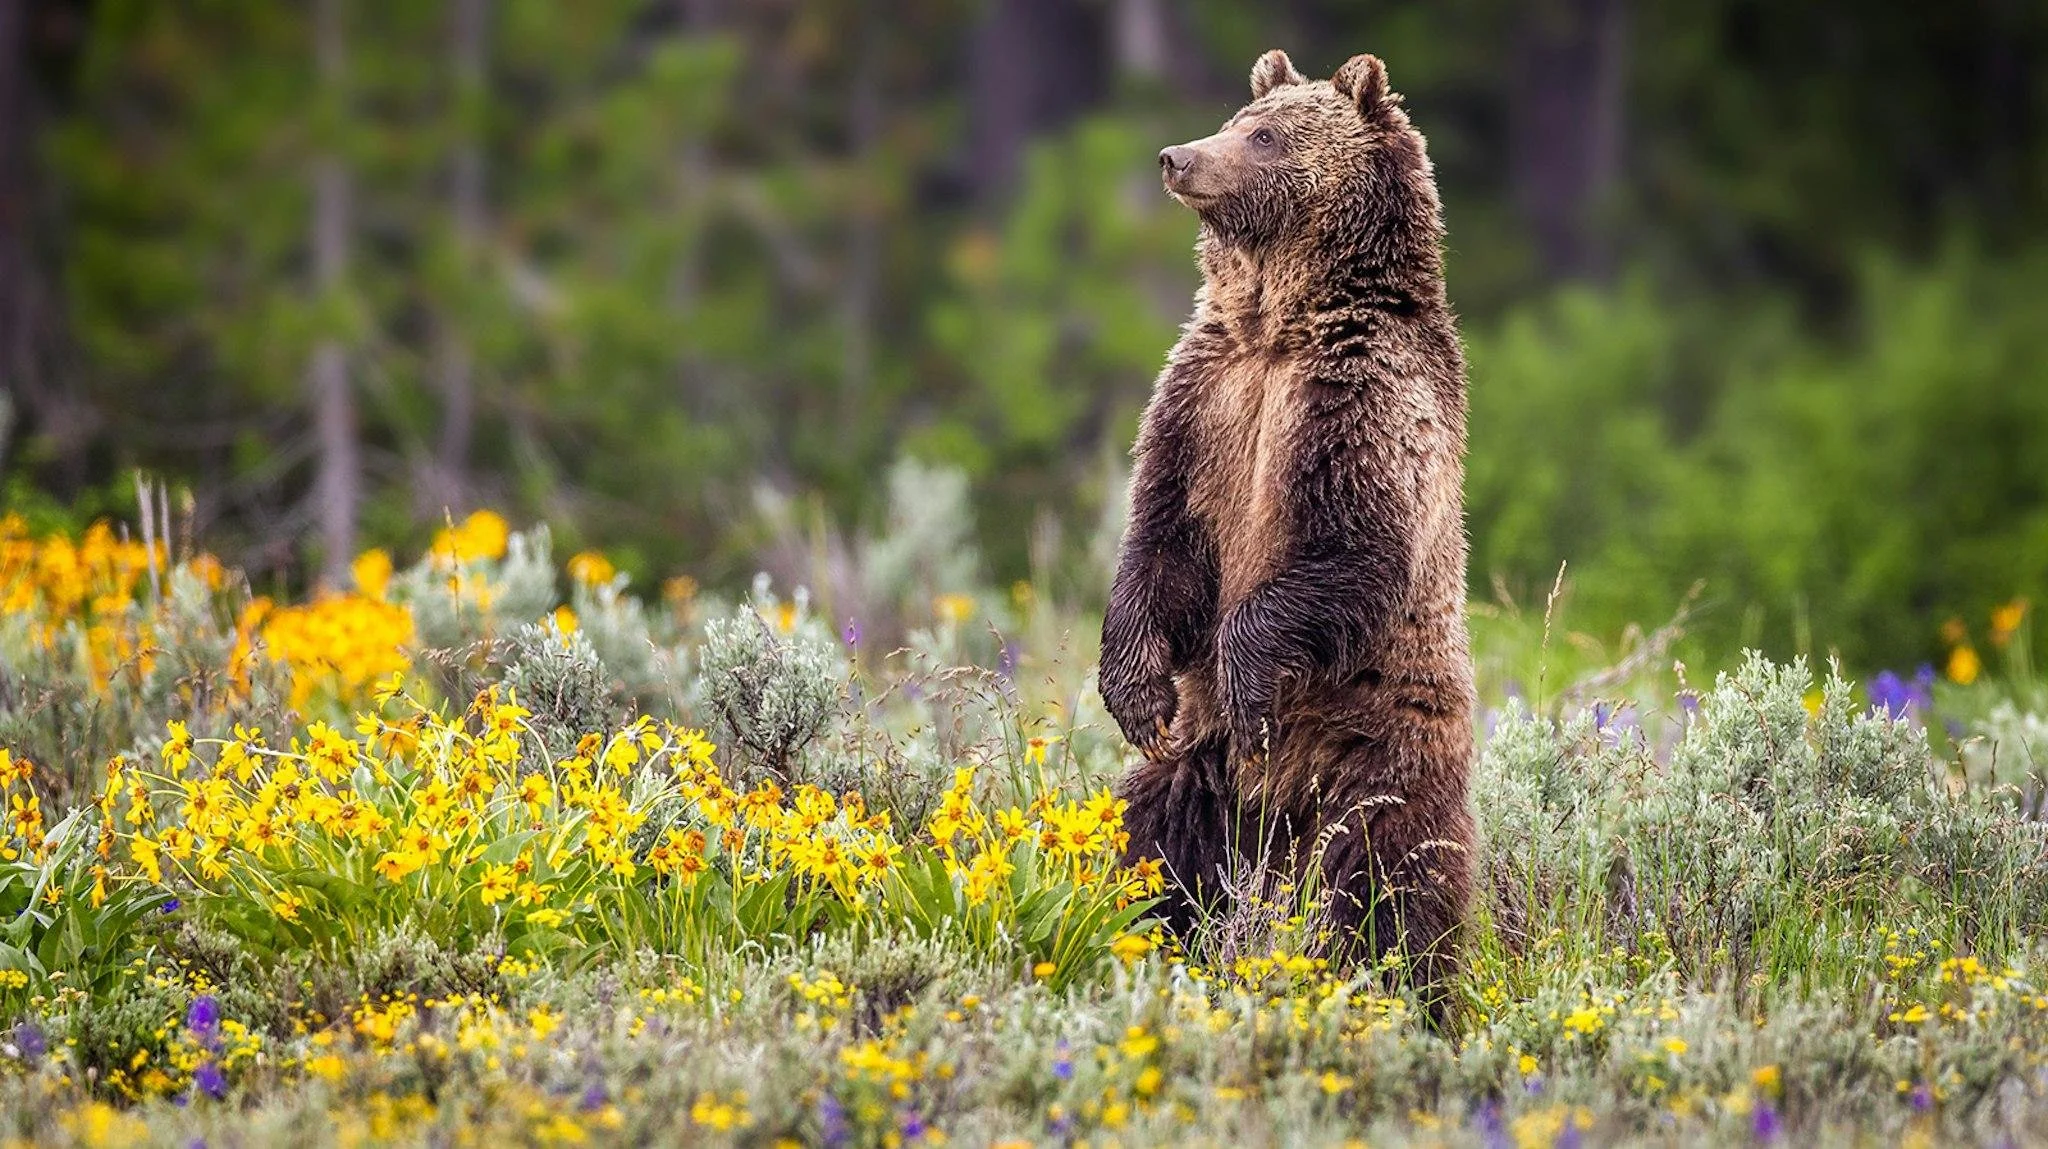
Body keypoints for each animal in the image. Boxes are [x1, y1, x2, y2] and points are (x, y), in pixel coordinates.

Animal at [1099, 48, 1476, 1012]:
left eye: (1265, 136)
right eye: (1238, 118)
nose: (1177, 157)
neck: (1279, 325)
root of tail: (1277, 811)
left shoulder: (1360, 403)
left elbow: (1350, 549)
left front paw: (1247, 682)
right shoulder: (1205, 400)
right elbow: (1159, 535)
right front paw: (1135, 691)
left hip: (1380, 750)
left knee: (1389, 878)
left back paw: (1405, 989)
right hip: (1202, 777)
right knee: (1149, 841)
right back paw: (1135, 930)